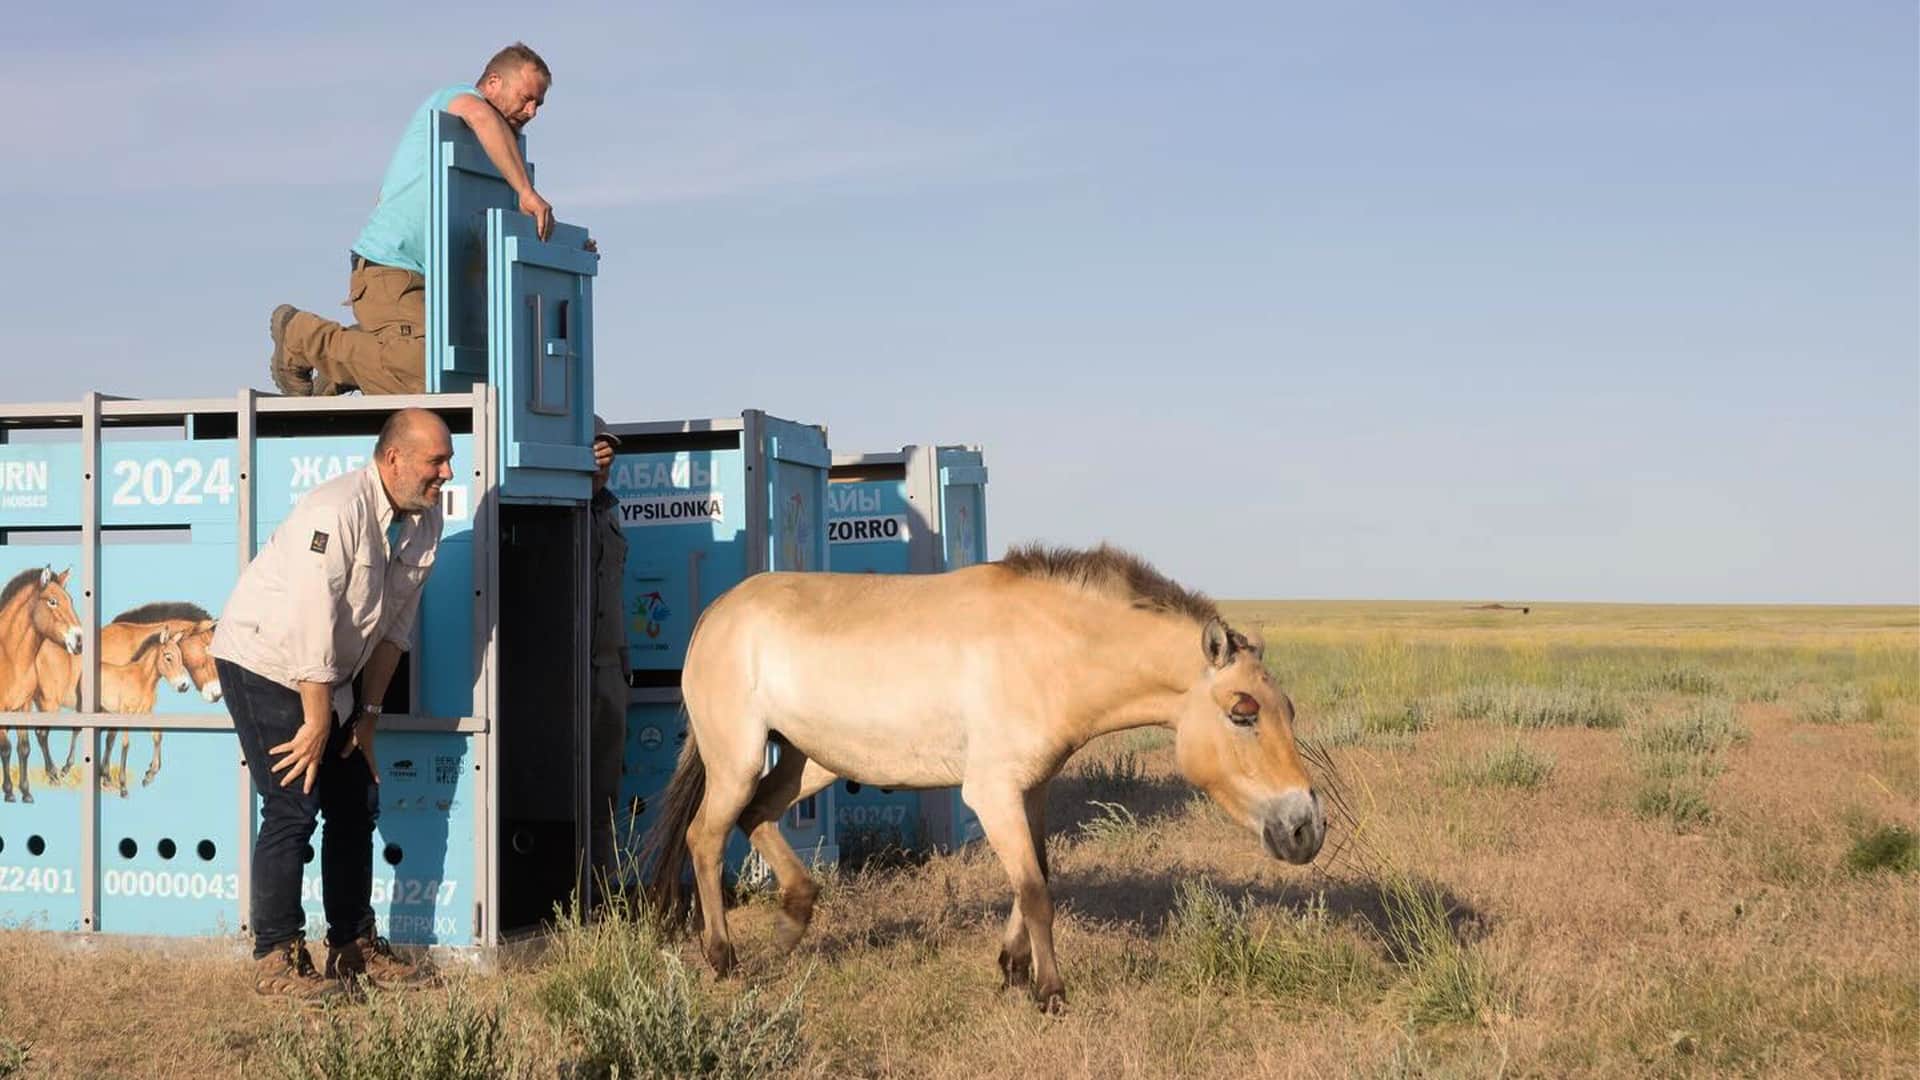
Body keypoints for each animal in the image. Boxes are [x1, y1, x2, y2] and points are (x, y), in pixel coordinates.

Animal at [0, 567, 83, 803]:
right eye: (52, 601)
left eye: (71, 600)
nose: (79, 641)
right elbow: (6, 748)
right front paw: (9, 792)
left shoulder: (23, 707)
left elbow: (24, 748)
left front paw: (26, 792)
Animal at [645, 543, 1326, 1011]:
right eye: (1243, 712)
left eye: (1289, 709)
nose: (1306, 830)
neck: (1047, 648)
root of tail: (716, 612)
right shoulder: (993, 793)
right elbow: (1036, 890)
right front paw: (1049, 991)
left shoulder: (1031, 792)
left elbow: (1038, 877)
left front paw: (1012, 966)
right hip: (736, 760)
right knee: (707, 837)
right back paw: (722, 957)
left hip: (808, 761)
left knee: (757, 815)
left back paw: (793, 921)